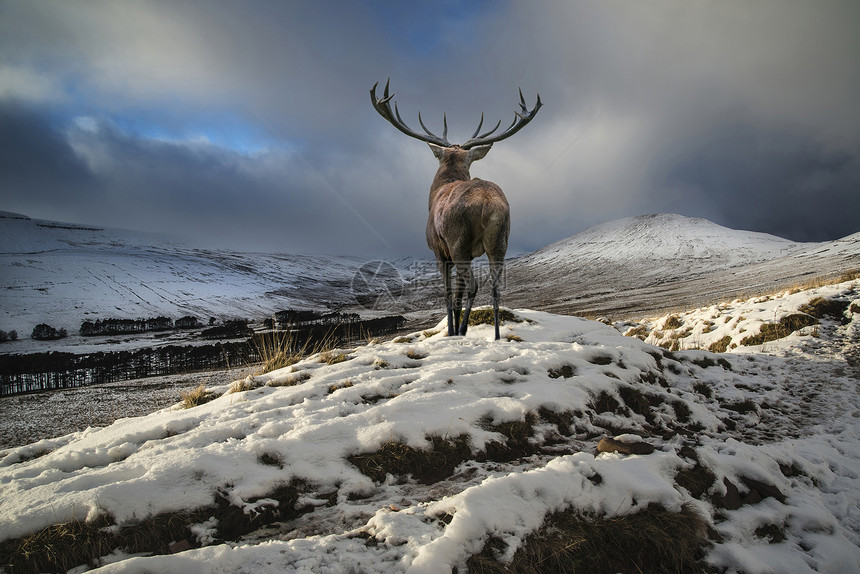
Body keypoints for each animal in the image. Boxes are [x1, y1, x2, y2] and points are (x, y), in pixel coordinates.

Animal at [372, 79, 544, 340]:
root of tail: (487, 203)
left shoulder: (439, 250)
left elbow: (449, 294)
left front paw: (452, 331)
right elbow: (459, 296)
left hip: (458, 242)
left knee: (473, 285)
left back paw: (462, 330)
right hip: (500, 241)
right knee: (495, 287)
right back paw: (495, 336)